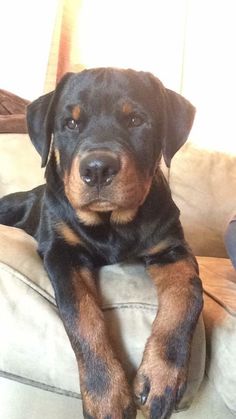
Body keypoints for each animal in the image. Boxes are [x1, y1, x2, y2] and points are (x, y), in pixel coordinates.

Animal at [0, 67, 203, 418]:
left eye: (136, 120)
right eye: (70, 123)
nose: (97, 168)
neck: (111, 224)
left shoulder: (172, 249)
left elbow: (187, 298)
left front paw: (162, 378)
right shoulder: (63, 254)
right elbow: (83, 316)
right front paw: (106, 395)